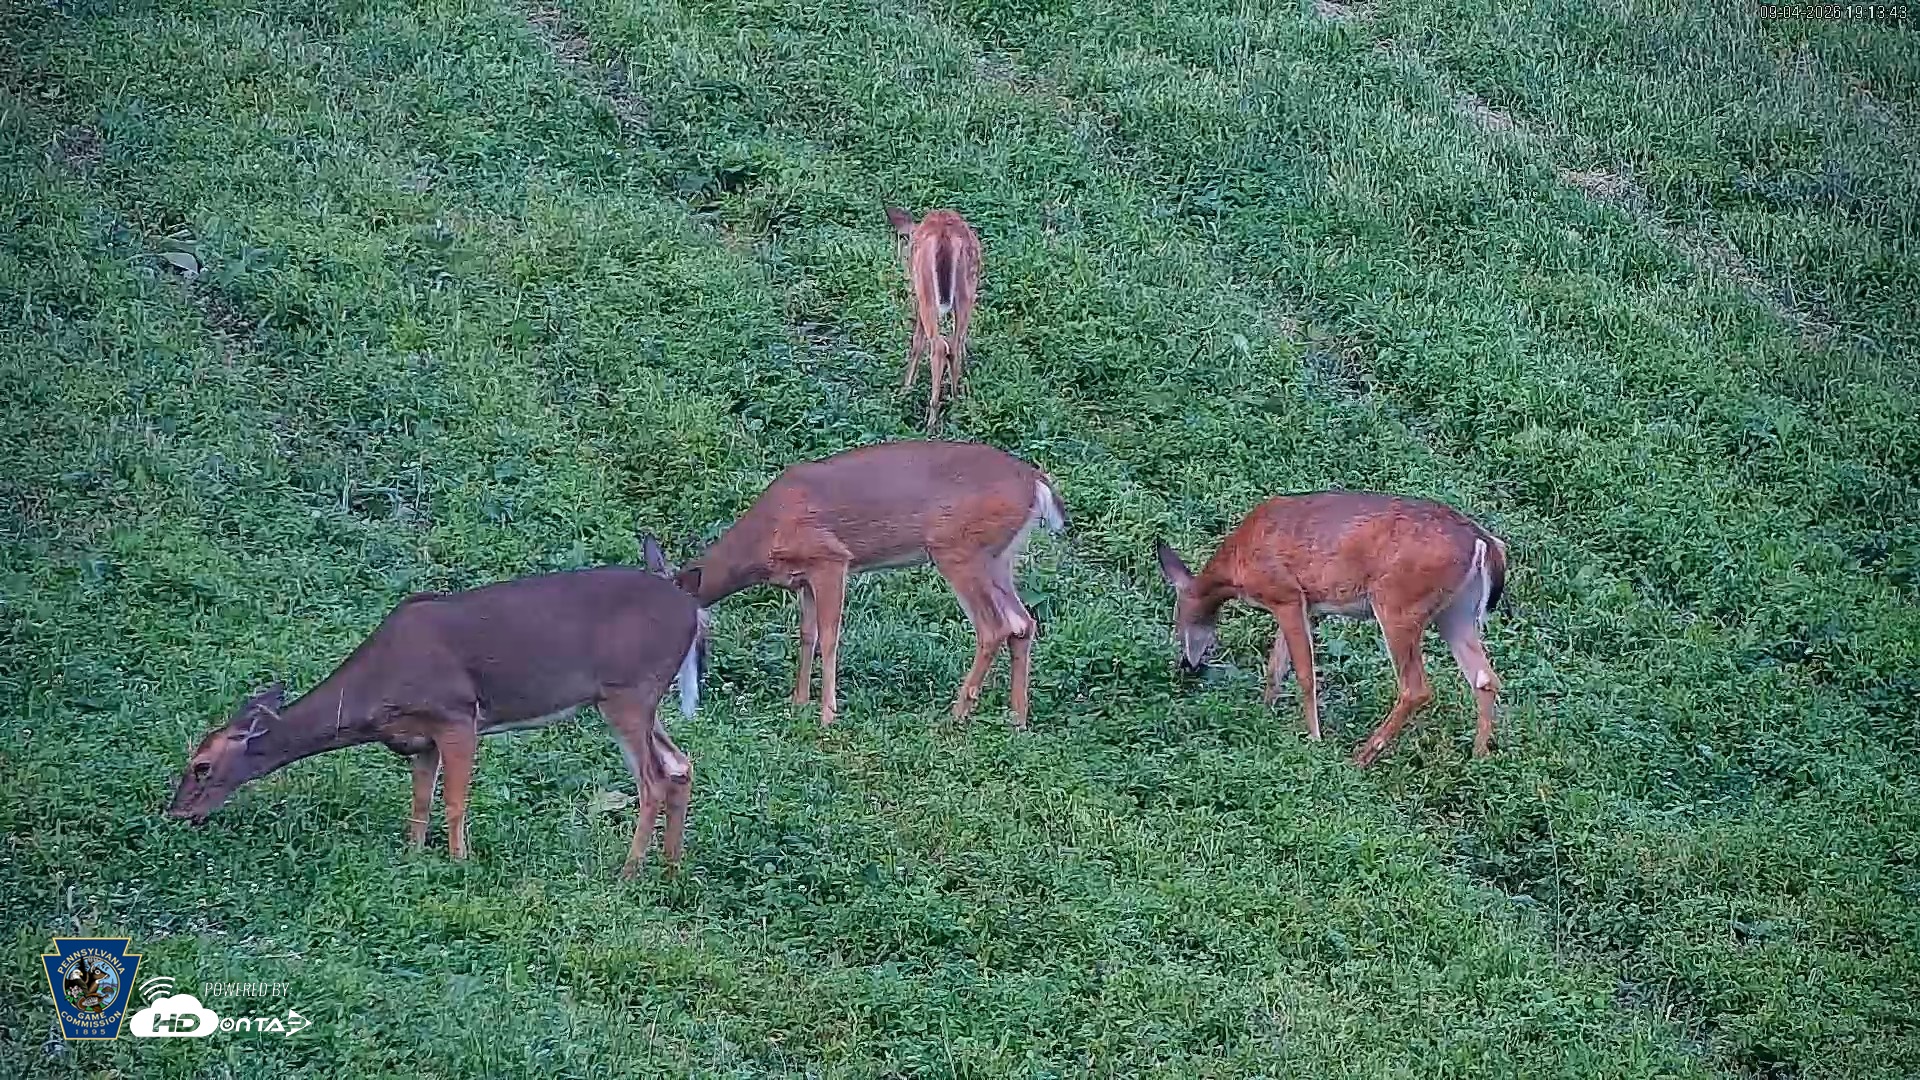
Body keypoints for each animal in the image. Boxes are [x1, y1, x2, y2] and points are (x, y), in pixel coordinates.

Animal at [165, 539, 707, 880]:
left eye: (201, 765)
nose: (175, 813)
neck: (373, 694)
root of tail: (693, 610)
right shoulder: (419, 738)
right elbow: (421, 801)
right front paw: (412, 856)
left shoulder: (457, 715)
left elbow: (454, 801)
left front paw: (459, 863)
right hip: (641, 699)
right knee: (681, 765)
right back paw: (671, 871)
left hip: (628, 691)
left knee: (653, 779)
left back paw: (628, 873)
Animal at [673, 440, 1066, 729]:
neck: (764, 537)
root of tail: (1036, 482)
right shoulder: (803, 580)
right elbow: (806, 635)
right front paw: (798, 703)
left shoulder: (830, 559)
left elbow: (829, 637)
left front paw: (827, 714)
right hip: (999, 557)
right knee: (1023, 622)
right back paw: (1017, 719)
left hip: (958, 549)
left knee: (994, 626)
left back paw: (956, 715)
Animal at [886, 206, 982, 432]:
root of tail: (945, 236)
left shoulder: (918, 296)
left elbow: (916, 343)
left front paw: (905, 389)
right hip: (967, 289)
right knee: (955, 344)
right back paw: (956, 402)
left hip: (926, 289)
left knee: (938, 346)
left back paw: (931, 420)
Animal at [1154, 492, 1509, 767]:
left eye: (1178, 623)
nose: (1187, 665)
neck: (1237, 566)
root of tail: (1484, 542)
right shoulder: (1305, 606)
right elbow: (1275, 668)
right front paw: (1265, 714)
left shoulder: (1284, 594)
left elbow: (1304, 674)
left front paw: (1313, 737)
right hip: (1456, 612)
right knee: (1485, 677)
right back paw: (1478, 757)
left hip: (1398, 603)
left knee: (1416, 687)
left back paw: (1362, 756)